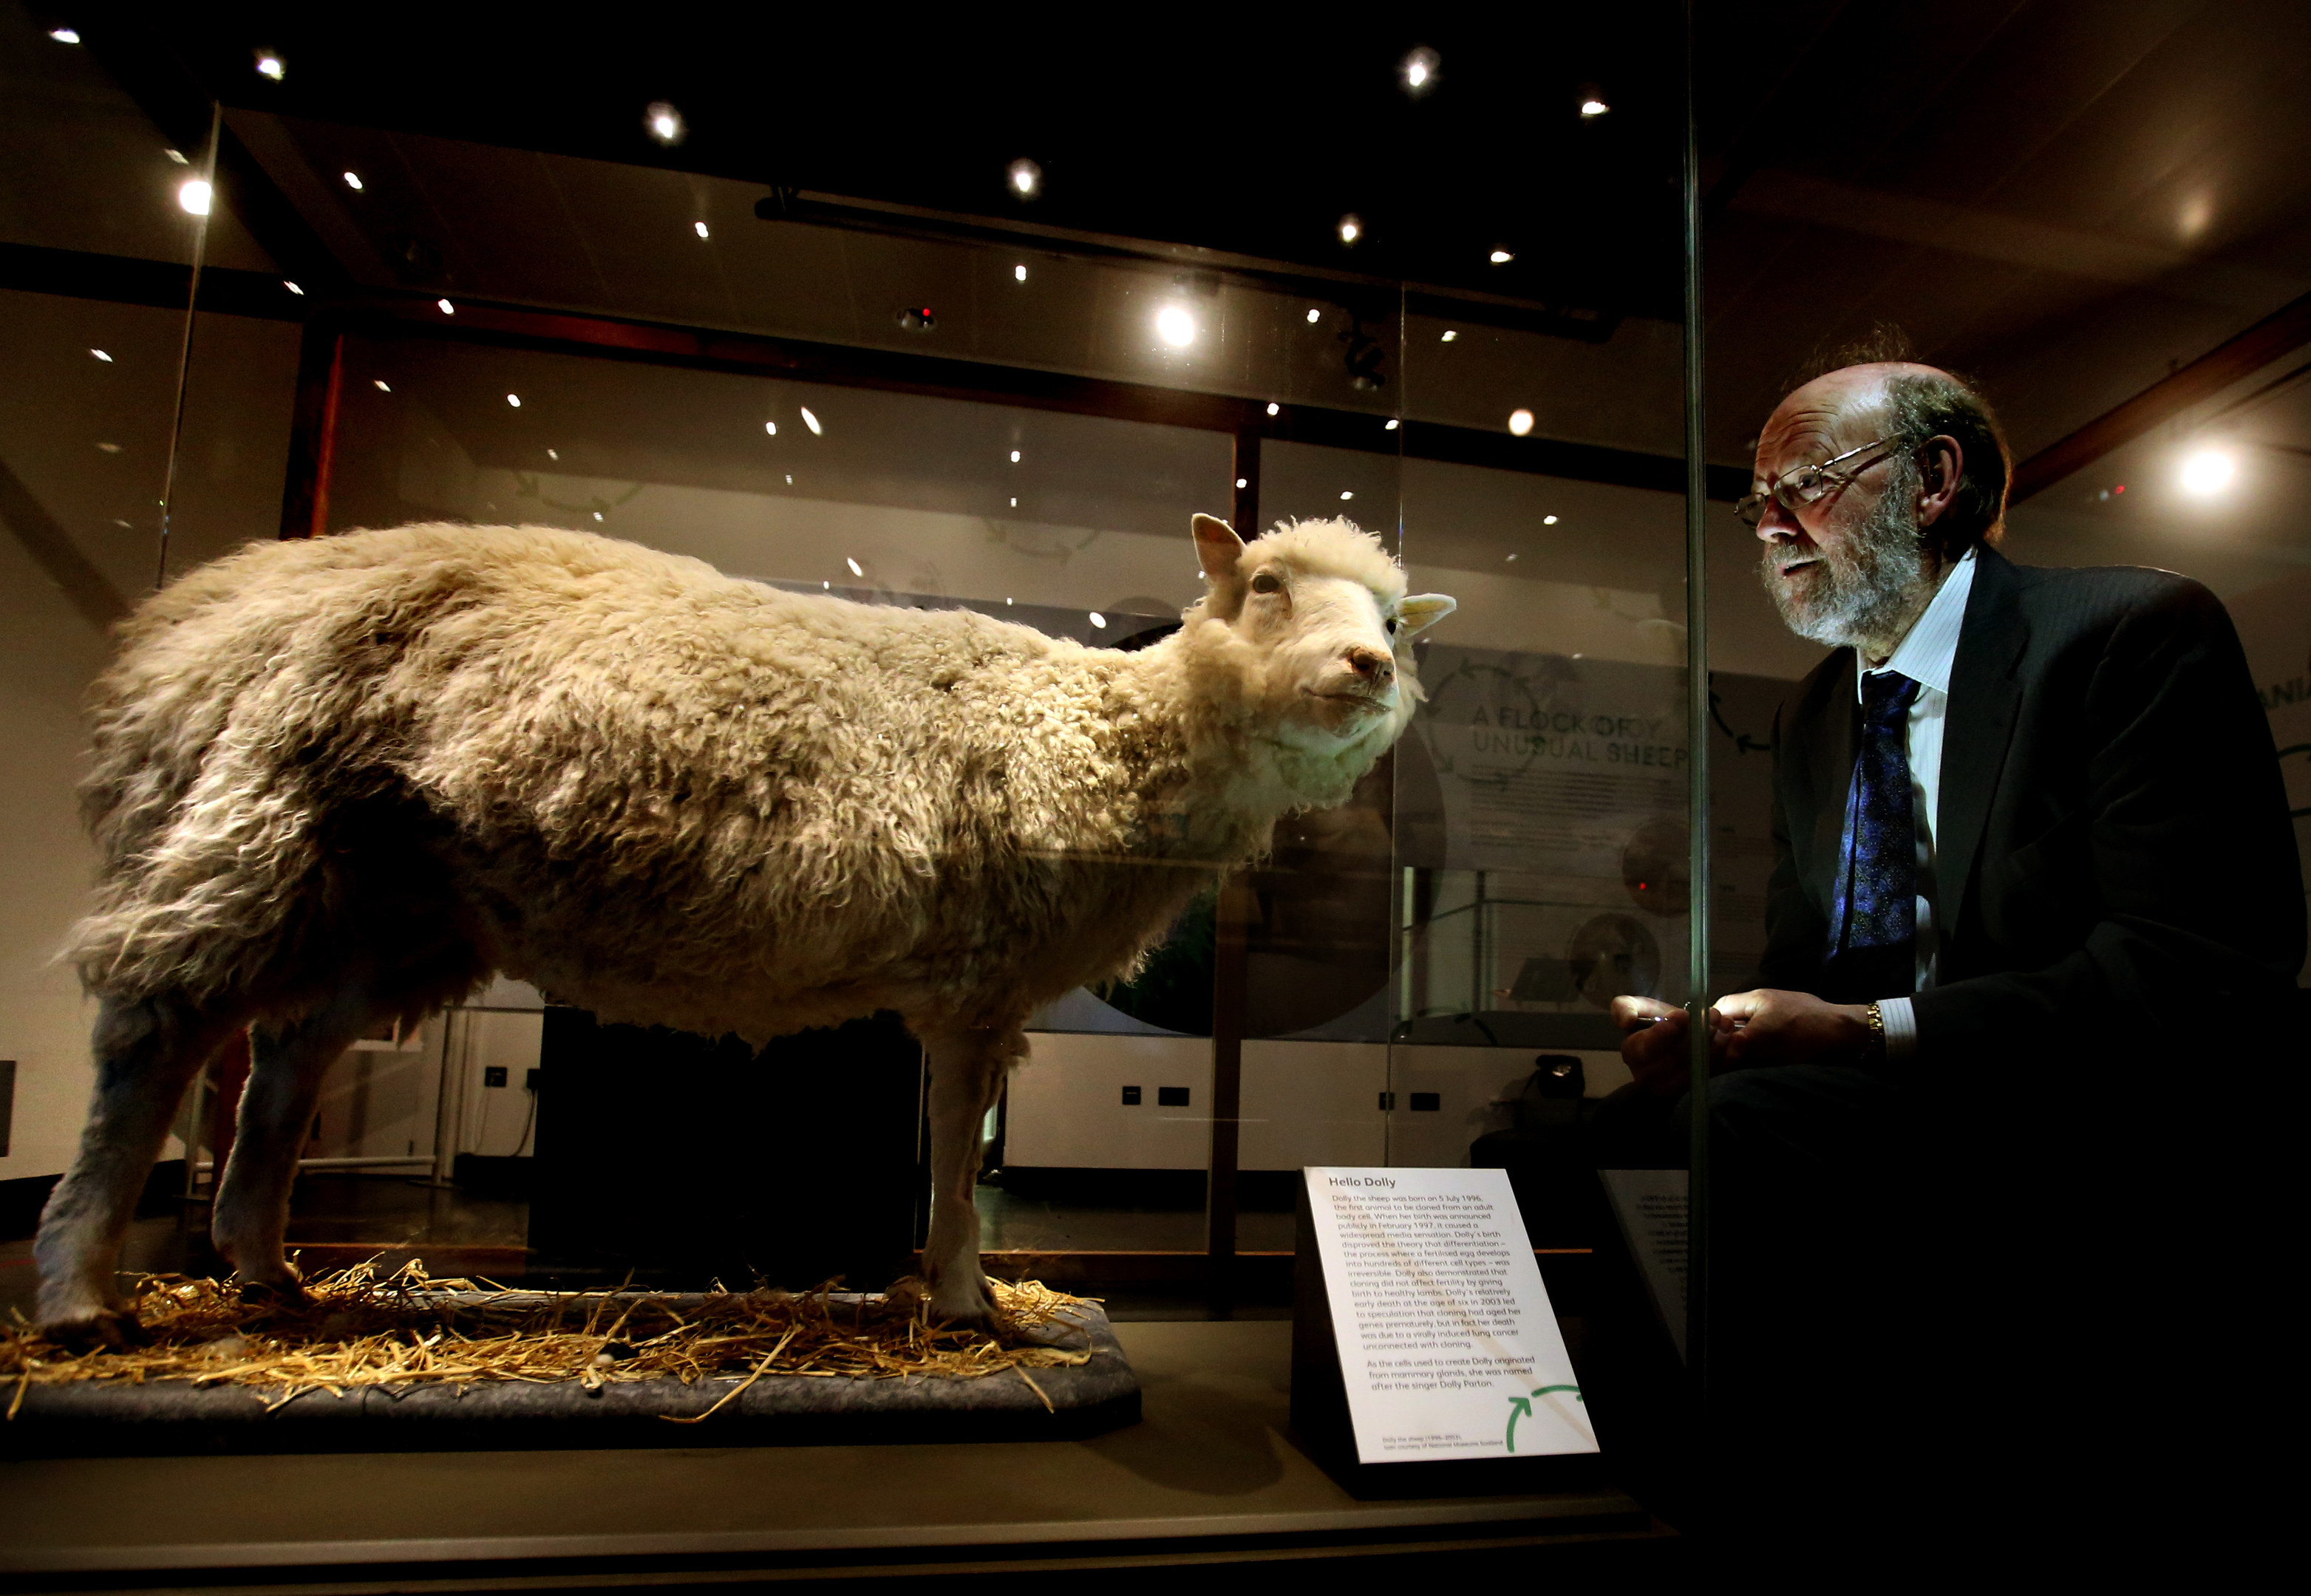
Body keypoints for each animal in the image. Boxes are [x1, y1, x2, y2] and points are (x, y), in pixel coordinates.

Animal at [35, 512, 1451, 1340]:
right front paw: (967, 1304)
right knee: (151, 1032)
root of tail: (182, 626)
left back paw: (264, 1271)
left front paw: (952, 1293)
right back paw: (79, 1293)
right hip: (264, 815)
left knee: (287, 1056)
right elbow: (952, 1156)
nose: (1368, 668)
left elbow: (953, 1146)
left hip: (395, 897)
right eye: (1263, 585)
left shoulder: (983, 982)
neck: (1099, 735)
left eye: (1391, 617)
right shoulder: (978, 971)